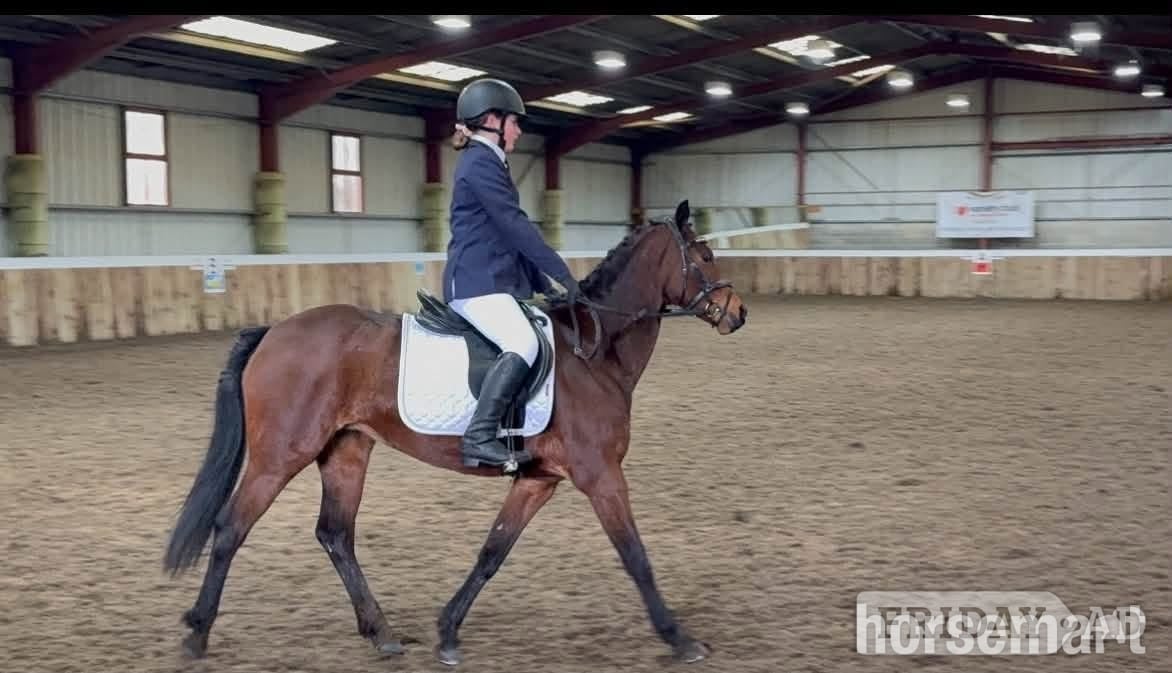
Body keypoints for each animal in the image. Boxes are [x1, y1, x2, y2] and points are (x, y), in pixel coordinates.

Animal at [162, 198, 748, 666]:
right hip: (281, 454)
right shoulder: (599, 475)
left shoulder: (537, 480)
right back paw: (197, 632)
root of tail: (274, 331)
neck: (596, 354)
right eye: (705, 256)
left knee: (335, 534)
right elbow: (636, 557)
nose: (737, 313)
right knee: (231, 529)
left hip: (346, 450)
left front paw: (446, 631)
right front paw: (680, 638)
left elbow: (492, 552)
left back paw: (381, 633)